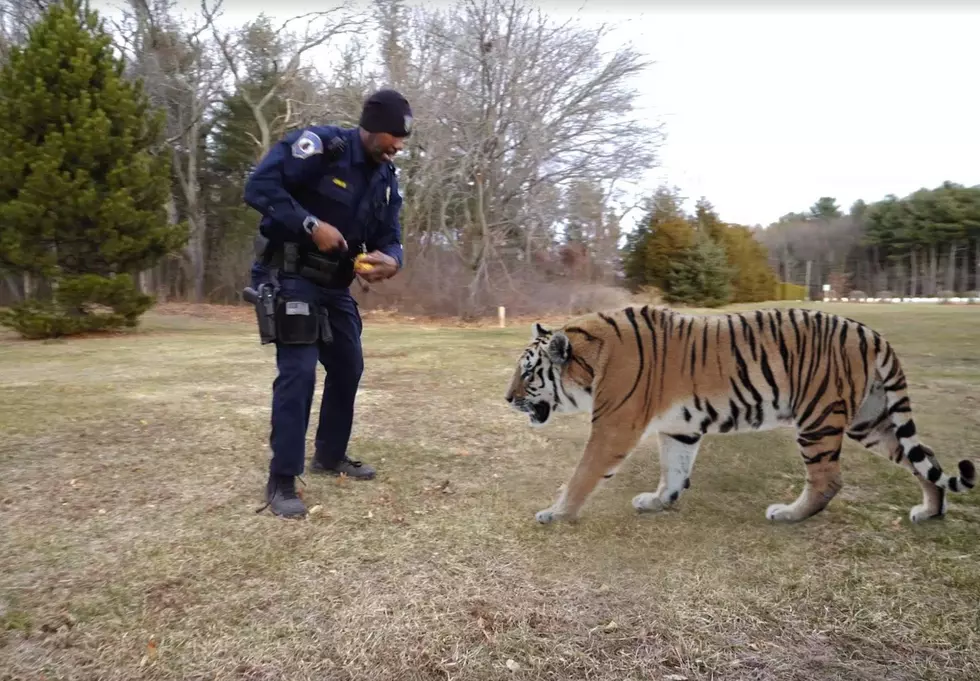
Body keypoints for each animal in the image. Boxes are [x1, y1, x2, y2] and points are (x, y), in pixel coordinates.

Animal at [502, 304, 976, 524]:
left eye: (527, 373)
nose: (506, 398)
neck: (590, 361)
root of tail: (872, 334)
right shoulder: (678, 428)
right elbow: (674, 470)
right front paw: (658, 501)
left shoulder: (614, 427)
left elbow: (582, 474)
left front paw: (555, 513)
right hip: (872, 421)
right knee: (924, 458)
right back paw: (930, 511)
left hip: (818, 419)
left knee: (828, 480)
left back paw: (788, 514)